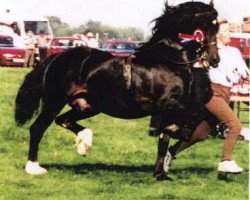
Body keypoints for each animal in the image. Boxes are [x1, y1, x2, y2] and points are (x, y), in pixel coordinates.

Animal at [15, 1, 219, 180]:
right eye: (209, 24)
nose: (215, 60)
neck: (167, 60)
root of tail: (55, 57)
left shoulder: (170, 108)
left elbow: (165, 140)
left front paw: (160, 174)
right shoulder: (167, 104)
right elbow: (195, 115)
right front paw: (178, 132)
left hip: (88, 106)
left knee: (63, 120)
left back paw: (84, 143)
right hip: (55, 101)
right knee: (37, 128)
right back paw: (34, 167)